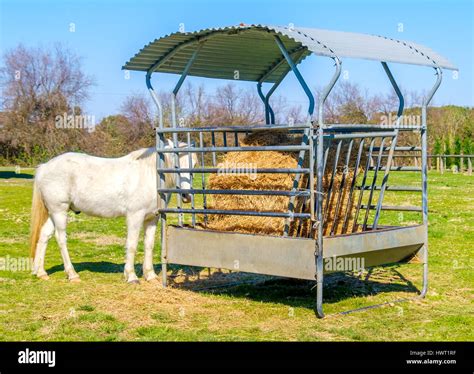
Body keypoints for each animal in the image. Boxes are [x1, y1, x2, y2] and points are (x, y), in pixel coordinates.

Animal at [29, 141, 197, 284]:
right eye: (175, 164)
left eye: (194, 165)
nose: (186, 195)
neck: (148, 175)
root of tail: (45, 167)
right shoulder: (135, 216)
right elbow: (132, 244)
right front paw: (131, 276)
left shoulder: (151, 219)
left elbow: (148, 245)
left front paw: (150, 275)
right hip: (59, 211)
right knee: (61, 238)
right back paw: (72, 274)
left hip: (53, 212)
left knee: (44, 235)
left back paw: (41, 272)